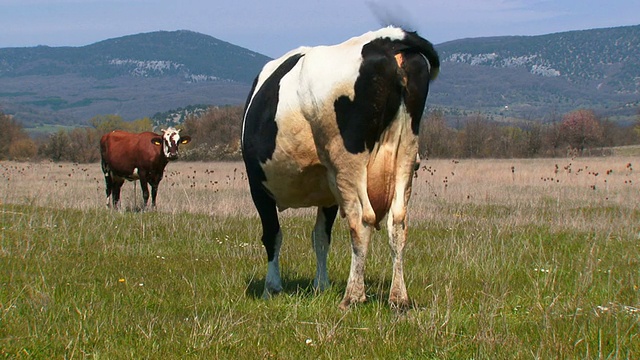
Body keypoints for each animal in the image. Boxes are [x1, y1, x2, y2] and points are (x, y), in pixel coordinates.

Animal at [241, 26, 440, 310]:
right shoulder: (329, 193)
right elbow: (321, 238)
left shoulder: (258, 186)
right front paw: (321, 286)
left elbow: (272, 235)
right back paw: (398, 297)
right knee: (398, 221)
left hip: (348, 163)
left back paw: (353, 296)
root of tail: (386, 39)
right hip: (405, 153)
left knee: (362, 220)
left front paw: (272, 287)